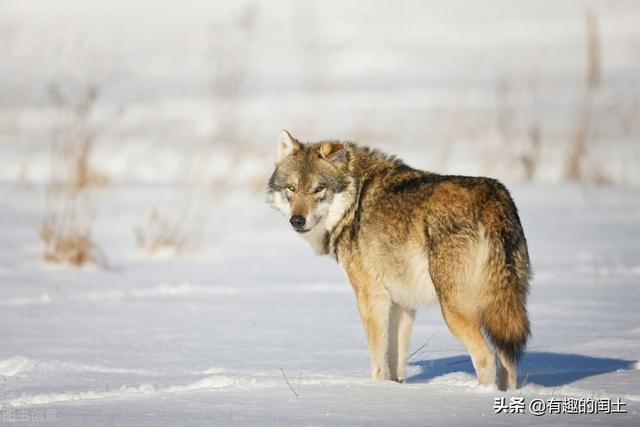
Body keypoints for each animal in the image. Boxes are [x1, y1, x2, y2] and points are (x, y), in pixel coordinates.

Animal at [264, 130, 528, 392]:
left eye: (319, 189)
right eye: (291, 188)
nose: (297, 220)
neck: (355, 201)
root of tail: (492, 197)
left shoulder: (371, 297)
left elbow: (378, 360)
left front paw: (378, 390)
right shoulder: (402, 303)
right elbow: (395, 359)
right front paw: (396, 390)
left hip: (455, 310)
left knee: (486, 357)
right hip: (503, 309)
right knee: (508, 360)